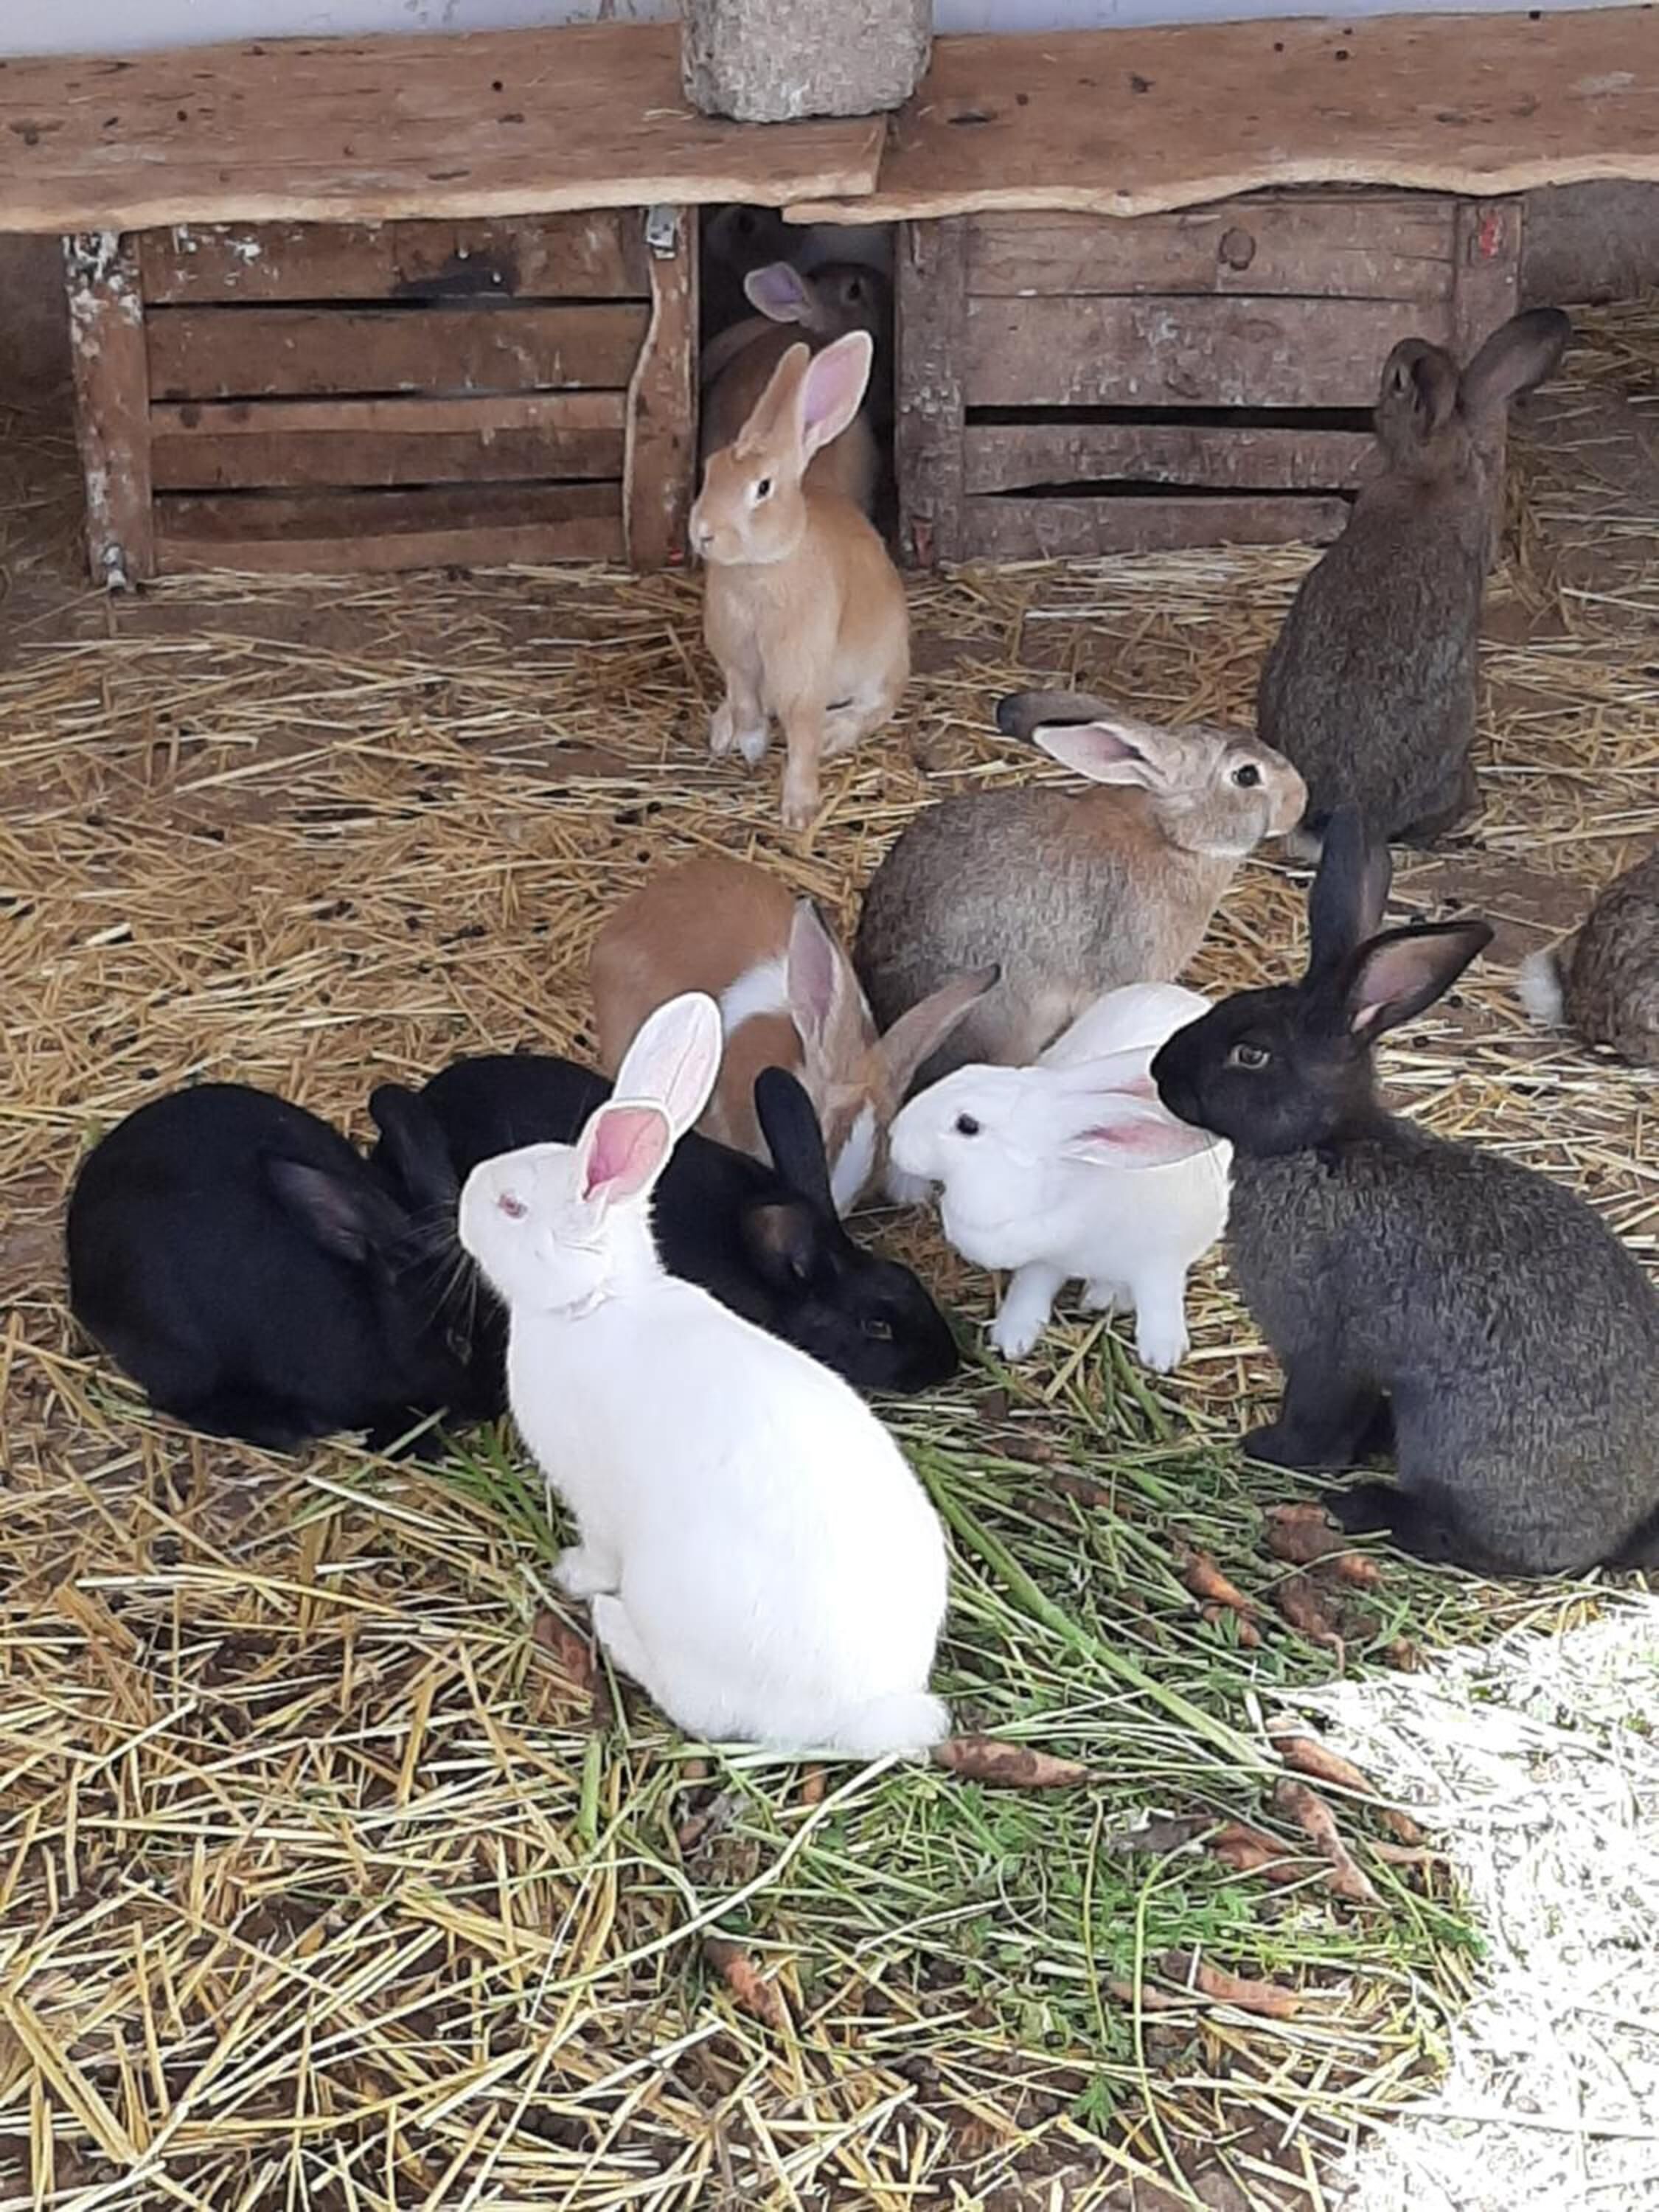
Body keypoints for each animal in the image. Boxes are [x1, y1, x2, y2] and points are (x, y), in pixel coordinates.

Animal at [457, 993, 951, 1757]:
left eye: (511, 1208)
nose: (465, 1199)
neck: (597, 1302)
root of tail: (864, 1711)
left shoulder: (594, 1500)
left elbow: (598, 1548)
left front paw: (572, 1574)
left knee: (697, 1707)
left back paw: (611, 1623)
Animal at [691, 332, 910, 835]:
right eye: (710, 469)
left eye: (763, 488)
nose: (704, 532)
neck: (760, 570)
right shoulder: (735, 657)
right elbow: (747, 702)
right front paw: (749, 742)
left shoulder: (803, 670)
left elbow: (803, 734)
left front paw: (798, 812)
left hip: (882, 659)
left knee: (877, 705)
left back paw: (836, 731)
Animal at [887, 984, 1228, 1371]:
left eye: (967, 1125)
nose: (895, 1134)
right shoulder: (1045, 1261)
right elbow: (1030, 1289)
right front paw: (1011, 1337)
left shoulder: (1161, 1262)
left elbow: (1160, 1300)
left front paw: (1161, 1354)